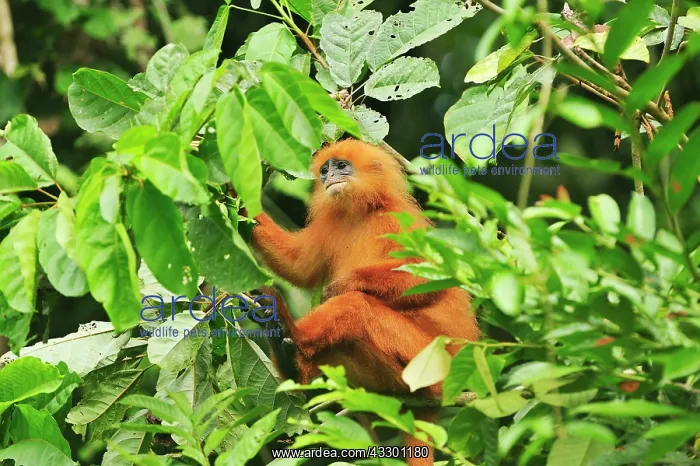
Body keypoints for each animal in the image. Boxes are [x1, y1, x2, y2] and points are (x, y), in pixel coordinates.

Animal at [250, 139, 479, 466]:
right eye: (324, 170)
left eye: (341, 166)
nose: (330, 177)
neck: (363, 213)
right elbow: (300, 267)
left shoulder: (399, 220)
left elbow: (434, 277)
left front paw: (348, 282)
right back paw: (290, 359)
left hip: (428, 361)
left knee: (358, 306)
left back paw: (292, 332)